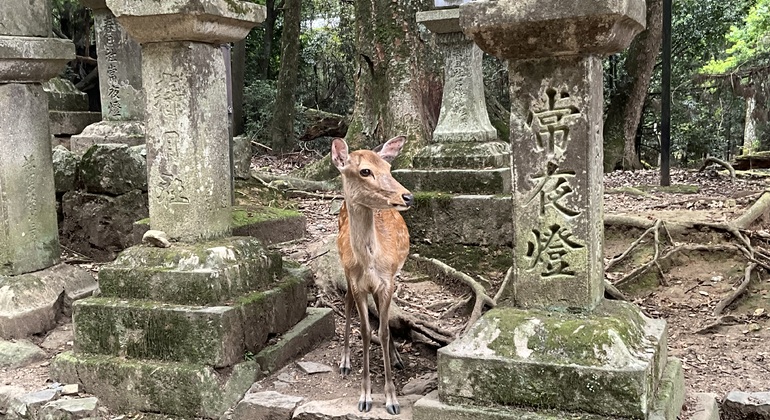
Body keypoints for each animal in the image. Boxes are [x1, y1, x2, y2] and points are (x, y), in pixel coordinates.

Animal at [331, 135, 414, 415]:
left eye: (388, 168)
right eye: (365, 171)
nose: (407, 196)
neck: (369, 264)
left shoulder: (387, 282)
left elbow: (384, 330)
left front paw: (392, 399)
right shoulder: (358, 284)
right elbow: (367, 331)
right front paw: (365, 397)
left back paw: (397, 357)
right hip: (344, 270)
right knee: (346, 303)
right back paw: (345, 362)